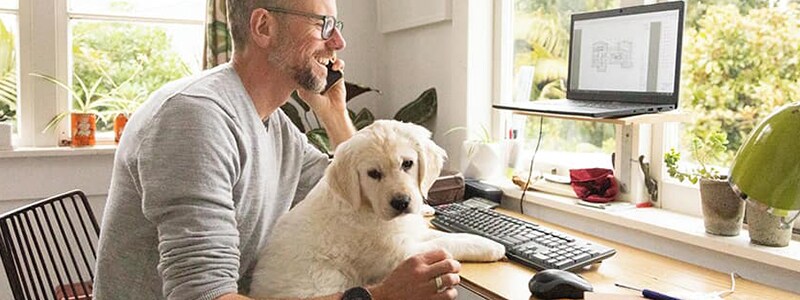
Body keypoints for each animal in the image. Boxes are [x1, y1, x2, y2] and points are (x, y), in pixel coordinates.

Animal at [248, 119, 506, 298]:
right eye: (373, 174)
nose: (401, 202)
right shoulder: (399, 255)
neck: (367, 208)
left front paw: (484, 241)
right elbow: (445, 242)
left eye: (407, 163)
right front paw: (492, 247)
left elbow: (442, 235)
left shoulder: (409, 232)